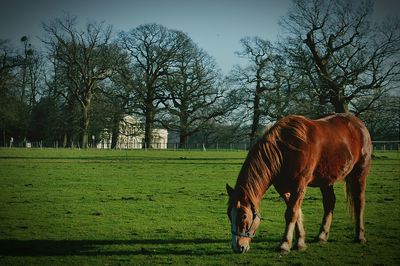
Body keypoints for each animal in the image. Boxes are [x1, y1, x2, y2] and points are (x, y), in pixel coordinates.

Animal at [227, 112, 374, 254]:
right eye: (229, 214)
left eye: (244, 215)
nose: (238, 246)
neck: (285, 149)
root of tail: (359, 124)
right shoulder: (284, 188)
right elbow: (296, 213)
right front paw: (300, 243)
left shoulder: (299, 185)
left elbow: (291, 213)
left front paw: (285, 245)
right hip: (326, 180)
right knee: (329, 202)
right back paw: (322, 236)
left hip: (360, 173)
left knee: (359, 202)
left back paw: (360, 236)